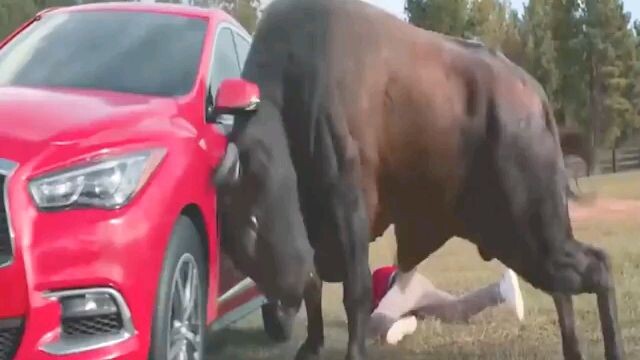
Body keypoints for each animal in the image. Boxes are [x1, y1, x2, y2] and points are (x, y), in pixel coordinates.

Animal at [212, 0, 624, 360]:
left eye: (253, 220)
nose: (284, 295)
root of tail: (537, 97)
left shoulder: (348, 207)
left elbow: (355, 291)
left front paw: (352, 352)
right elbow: (318, 290)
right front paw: (310, 347)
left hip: (531, 230)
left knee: (597, 267)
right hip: (519, 240)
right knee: (565, 287)